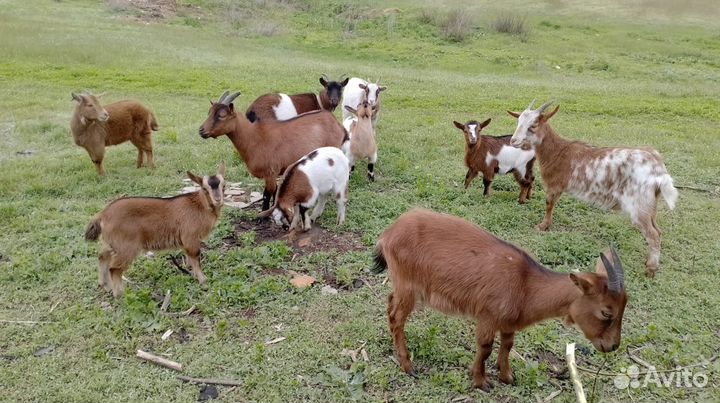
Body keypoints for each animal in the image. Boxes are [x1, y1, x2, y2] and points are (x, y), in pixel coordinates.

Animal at [85, 162, 226, 297]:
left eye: (224, 185)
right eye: (204, 188)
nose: (218, 200)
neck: (200, 205)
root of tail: (102, 215)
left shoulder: (186, 241)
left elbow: (190, 258)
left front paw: (193, 274)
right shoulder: (190, 237)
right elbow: (196, 257)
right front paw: (203, 280)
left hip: (111, 243)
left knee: (102, 257)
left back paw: (106, 286)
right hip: (126, 247)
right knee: (114, 268)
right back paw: (119, 294)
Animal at [199, 91, 349, 211]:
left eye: (222, 115)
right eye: (209, 112)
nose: (201, 131)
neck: (254, 136)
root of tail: (337, 124)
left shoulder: (270, 171)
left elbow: (267, 193)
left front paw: (263, 215)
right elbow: (275, 191)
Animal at [373, 207, 628, 390]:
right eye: (607, 312)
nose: (613, 346)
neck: (526, 284)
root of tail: (388, 233)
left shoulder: (508, 321)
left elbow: (507, 345)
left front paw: (507, 376)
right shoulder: (488, 316)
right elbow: (485, 347)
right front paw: (480, 381)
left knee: (390, 303)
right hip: (408, 286)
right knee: (397, 317)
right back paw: (407, 365)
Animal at [508, 100, 678, 277]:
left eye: (534, 124)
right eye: (518, 121)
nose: (513, 141)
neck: (558, 151)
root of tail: (658, 168)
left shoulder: (554, 185)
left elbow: (549, 204)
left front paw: (543, 226)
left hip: (639, 203)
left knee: (653, 234)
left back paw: (650, 270)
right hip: (650, 202)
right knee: (657, 230)